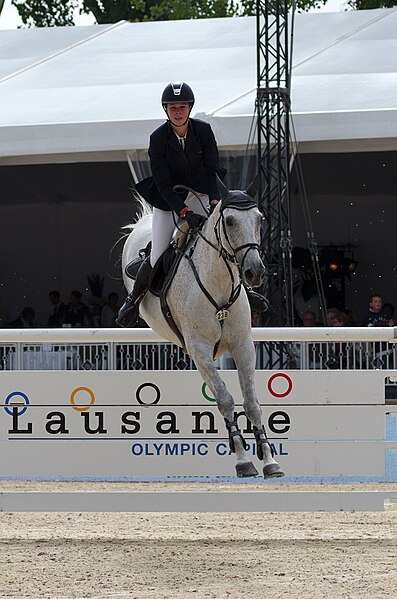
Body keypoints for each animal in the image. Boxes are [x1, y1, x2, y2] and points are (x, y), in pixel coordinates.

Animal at [121, 185, 284, 480]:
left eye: (260, 219)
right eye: (229, 221)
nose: (254, 273)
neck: (218, 283)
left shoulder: (243, 346)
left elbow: (252, 403)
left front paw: (270, 461)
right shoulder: (200, 350)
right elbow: (225, 399)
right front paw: (243, 460)